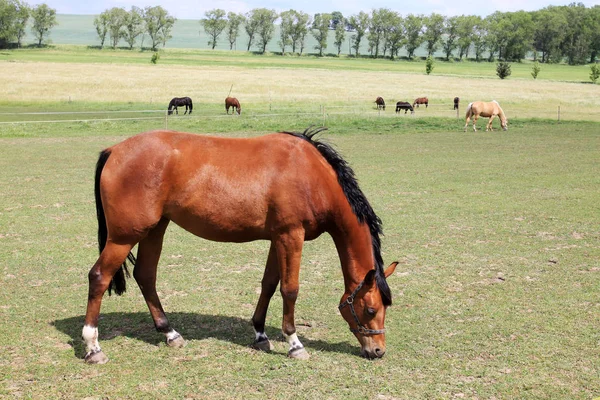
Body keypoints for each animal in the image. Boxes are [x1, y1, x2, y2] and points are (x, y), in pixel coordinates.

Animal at [81, 126, 398, 364]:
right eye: (371, 310)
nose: (378, 350)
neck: (312, 175)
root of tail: (114, 150)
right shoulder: (291, 236)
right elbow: (290, 289)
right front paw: (294, 343)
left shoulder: (278, 238)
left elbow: (269, 284)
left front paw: (260, 335)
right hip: (124, 237)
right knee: (99, 277)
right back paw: (93, 347)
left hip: (154, 229)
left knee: (145, 275)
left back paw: (170, 333)